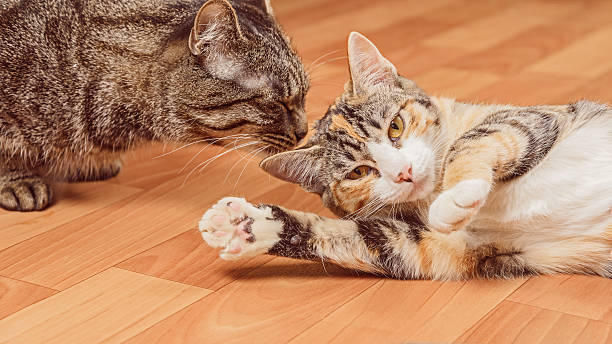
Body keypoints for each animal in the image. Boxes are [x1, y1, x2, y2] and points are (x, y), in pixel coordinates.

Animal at [201, 32, 612, 280]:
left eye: (395, 127)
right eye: (357, 173)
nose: (404, 173)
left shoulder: (535, 118)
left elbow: (476, 139)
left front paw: (456, 196)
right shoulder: (450, 247)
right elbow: (364, 238)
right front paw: (245, 224)